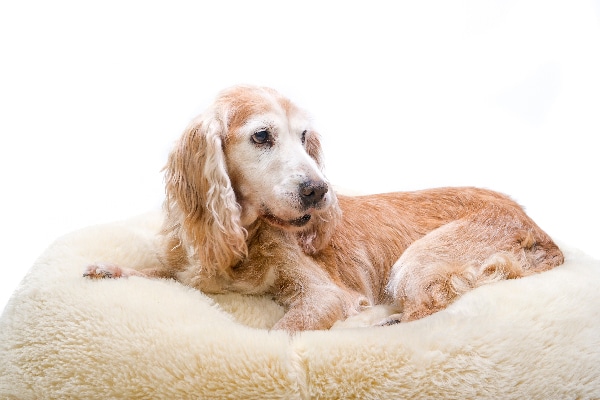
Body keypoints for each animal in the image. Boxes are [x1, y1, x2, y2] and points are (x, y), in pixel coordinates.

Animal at [83, 85, 564, 332]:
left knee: (426, 311)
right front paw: (112, 270)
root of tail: (536, 225)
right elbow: (161, 273)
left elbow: (282, 331)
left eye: (304, 137)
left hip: (417, 260)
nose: (319, 191)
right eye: (262, 136)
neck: (247, 237)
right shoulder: (195, 274)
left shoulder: (323, 295)